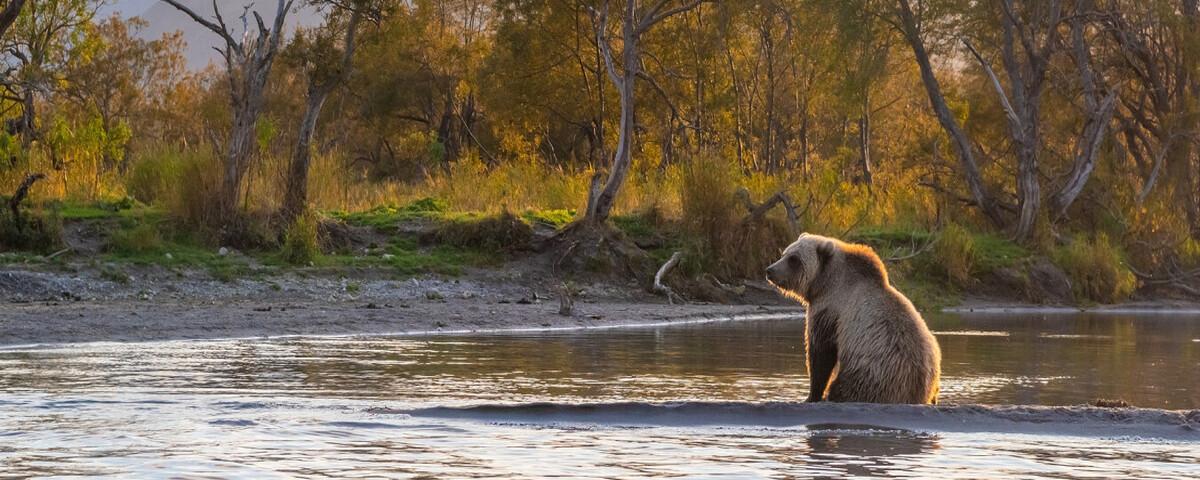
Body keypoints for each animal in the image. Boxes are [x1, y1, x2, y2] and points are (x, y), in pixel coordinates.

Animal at [768, 234, 936, 403]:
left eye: (794, 259)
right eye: (784, 253)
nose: (770, 270)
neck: (823, 283)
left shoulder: (830, 311)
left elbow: (821, 353)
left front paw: (812, 395)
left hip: (872, 373)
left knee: (846, 387)